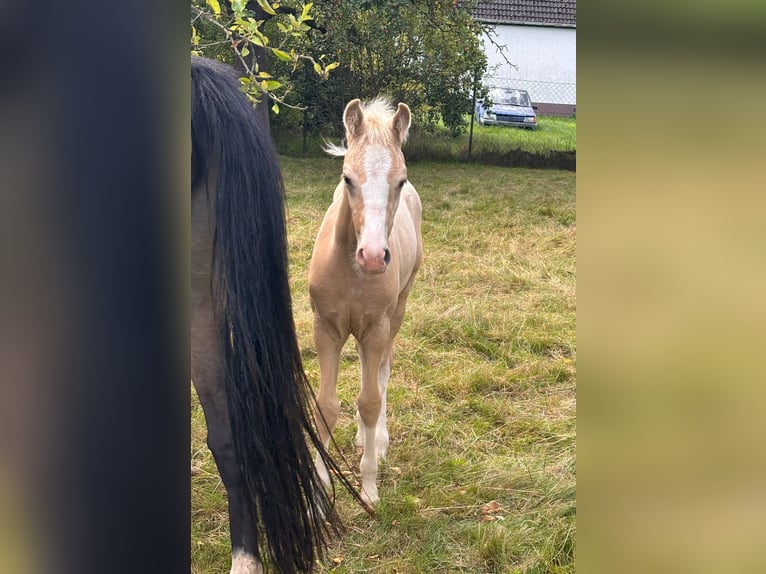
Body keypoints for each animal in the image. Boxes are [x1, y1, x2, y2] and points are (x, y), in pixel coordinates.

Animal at [309, 98, 424, 506]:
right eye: (347, 179)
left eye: (399, 180)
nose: (373, 257)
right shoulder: (325, 327)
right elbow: (327, 405)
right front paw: (320, 491)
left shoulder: (376, 327)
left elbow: (371, 400)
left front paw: (369, 486)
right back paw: (362, 436)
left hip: (397, 313)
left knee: (382, 373)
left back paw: (379, 440)